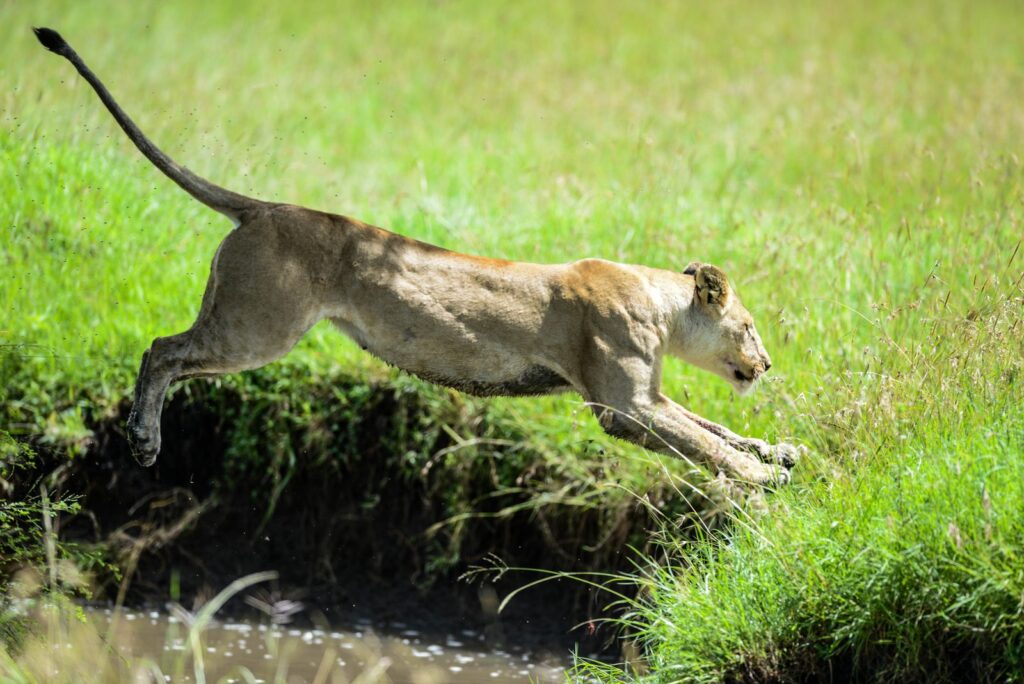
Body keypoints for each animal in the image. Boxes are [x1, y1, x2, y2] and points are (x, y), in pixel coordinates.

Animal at [35, 27, 801, 484]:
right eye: (750, 327)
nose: (764, 365)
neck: (661, 305)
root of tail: (269, 207)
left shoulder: (645, 397)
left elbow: (713, 426)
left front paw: (778, 453)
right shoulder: (624, 404)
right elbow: (704, 441)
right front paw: (761, 482)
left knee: (168, 352)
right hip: (257, 327)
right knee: (161, 350)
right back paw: (142, 441)